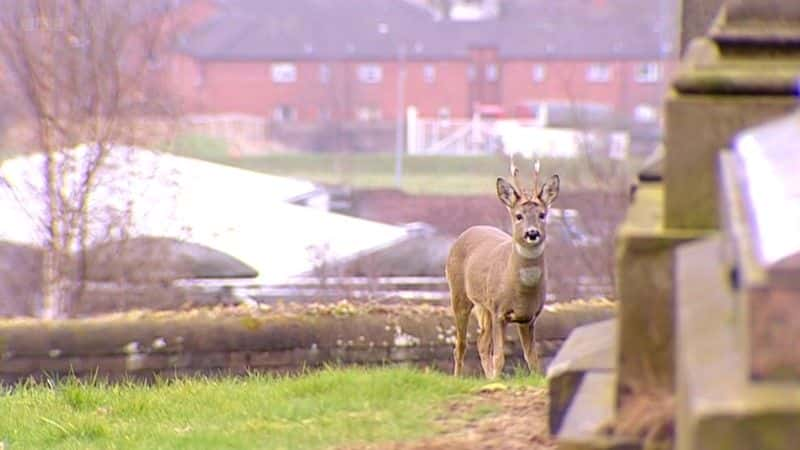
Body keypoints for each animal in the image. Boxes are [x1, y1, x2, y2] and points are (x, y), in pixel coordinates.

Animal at [446, 160, 560, 378]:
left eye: (542, 215)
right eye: (518, 216)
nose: (532, 233)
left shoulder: (528, 317)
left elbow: (533, 359)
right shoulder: (499, 310)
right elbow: (499, 357)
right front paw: (496, 378)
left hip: (484, 306)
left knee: (481, 342)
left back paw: (487, 377)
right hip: (459, 293)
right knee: (461, 344)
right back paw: (459, 377)